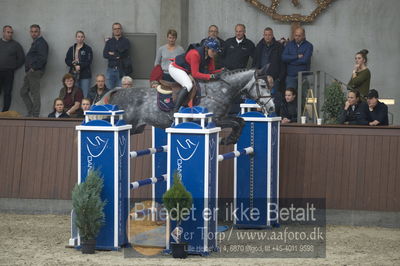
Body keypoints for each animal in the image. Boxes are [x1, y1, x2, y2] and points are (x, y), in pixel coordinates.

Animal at [99, 67, 276, 144]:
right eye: (263, 85)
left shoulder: (223, 118)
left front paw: (231, 139)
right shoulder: (215, 120)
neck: (220, 90)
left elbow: (241, 121)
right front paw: (230, 139)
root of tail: (118, 91)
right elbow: (236, 122)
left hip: (136, 128)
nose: (272, 108)